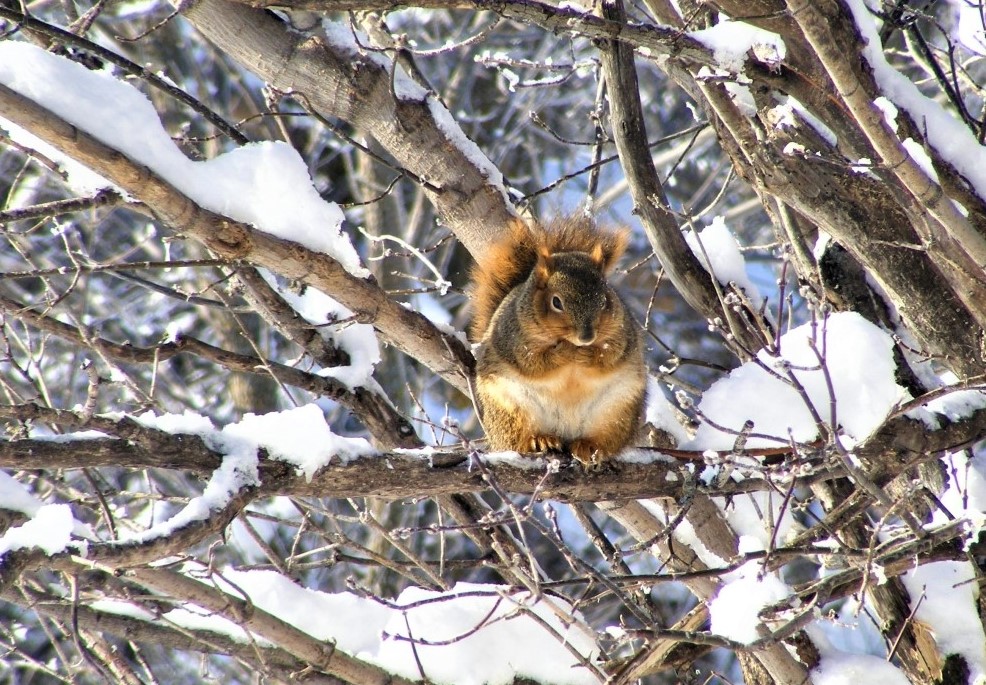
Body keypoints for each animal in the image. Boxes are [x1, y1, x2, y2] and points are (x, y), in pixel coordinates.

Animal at [469, 215, 647, 466]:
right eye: (556, 302)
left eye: (605, 301)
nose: (586, 337)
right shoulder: (514, 340)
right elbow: (534, 363)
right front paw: (563, 352)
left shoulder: (623, 336)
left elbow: (610, 357)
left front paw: (588, 354)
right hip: (511, 409)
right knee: (519, 438)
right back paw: (540, 439)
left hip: (617, 412)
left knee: (606, 439)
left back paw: (588, 446)